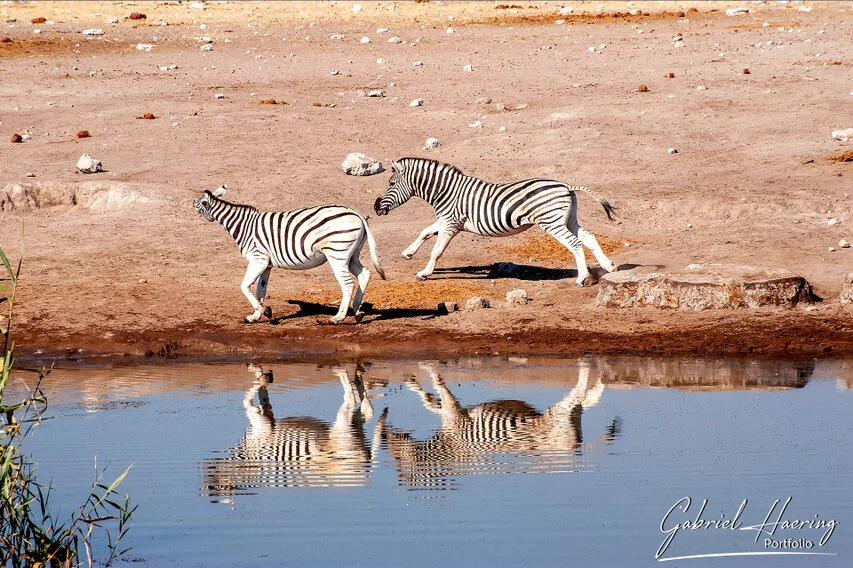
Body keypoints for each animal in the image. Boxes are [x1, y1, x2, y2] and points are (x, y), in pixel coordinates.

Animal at [194, 185, 385, 324]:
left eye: (200, 205)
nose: (192, 203)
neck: (244, 226)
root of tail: (356, 213)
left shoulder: (258, 259)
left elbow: (244, 286)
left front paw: (263, 311)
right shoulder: (266, 264)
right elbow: (260, 290)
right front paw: (256, 315)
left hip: (337, 254)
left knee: (347, 284)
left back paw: (338, 317)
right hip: (351, 255)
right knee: (364, 274)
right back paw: (357, 311)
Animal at [201, 364, 385, 496]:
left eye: (215, 484)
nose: (204, 468)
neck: (248, 459)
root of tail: (366, 463)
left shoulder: (263, 425)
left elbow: (247, 400)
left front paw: (262, 375)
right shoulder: (268, 415)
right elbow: (262, 396)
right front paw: (261, 373)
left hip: (341, 432)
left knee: (351, 398)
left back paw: (339, 370)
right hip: (354, 430)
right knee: (366, 408)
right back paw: (358, 376)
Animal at [373, 158, 618, 286]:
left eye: (391, 183)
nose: (376, 209)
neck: (446, 191)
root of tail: (566, 186)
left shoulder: (450, 223)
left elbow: (436, 250)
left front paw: (424, 273)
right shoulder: (447, 221)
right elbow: (424, 232)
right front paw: (407, 253)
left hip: (552, 221)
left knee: (575, 243)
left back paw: (583, 278)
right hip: (568, 219)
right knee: (588, 237)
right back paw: (609, 266)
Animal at [378, 361, 621, 490]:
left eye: (396, 454)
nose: (385, 433)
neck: (446, 446)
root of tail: (575, 446)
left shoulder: (454, 414)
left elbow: (437, 384)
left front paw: (425, 366)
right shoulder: (451, 415)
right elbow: (430, 402)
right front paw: (411, 379)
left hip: (559, 414)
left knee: (579, 392)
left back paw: (587, 364)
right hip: (570, 415)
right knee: (588, 399)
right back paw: (601, 377)